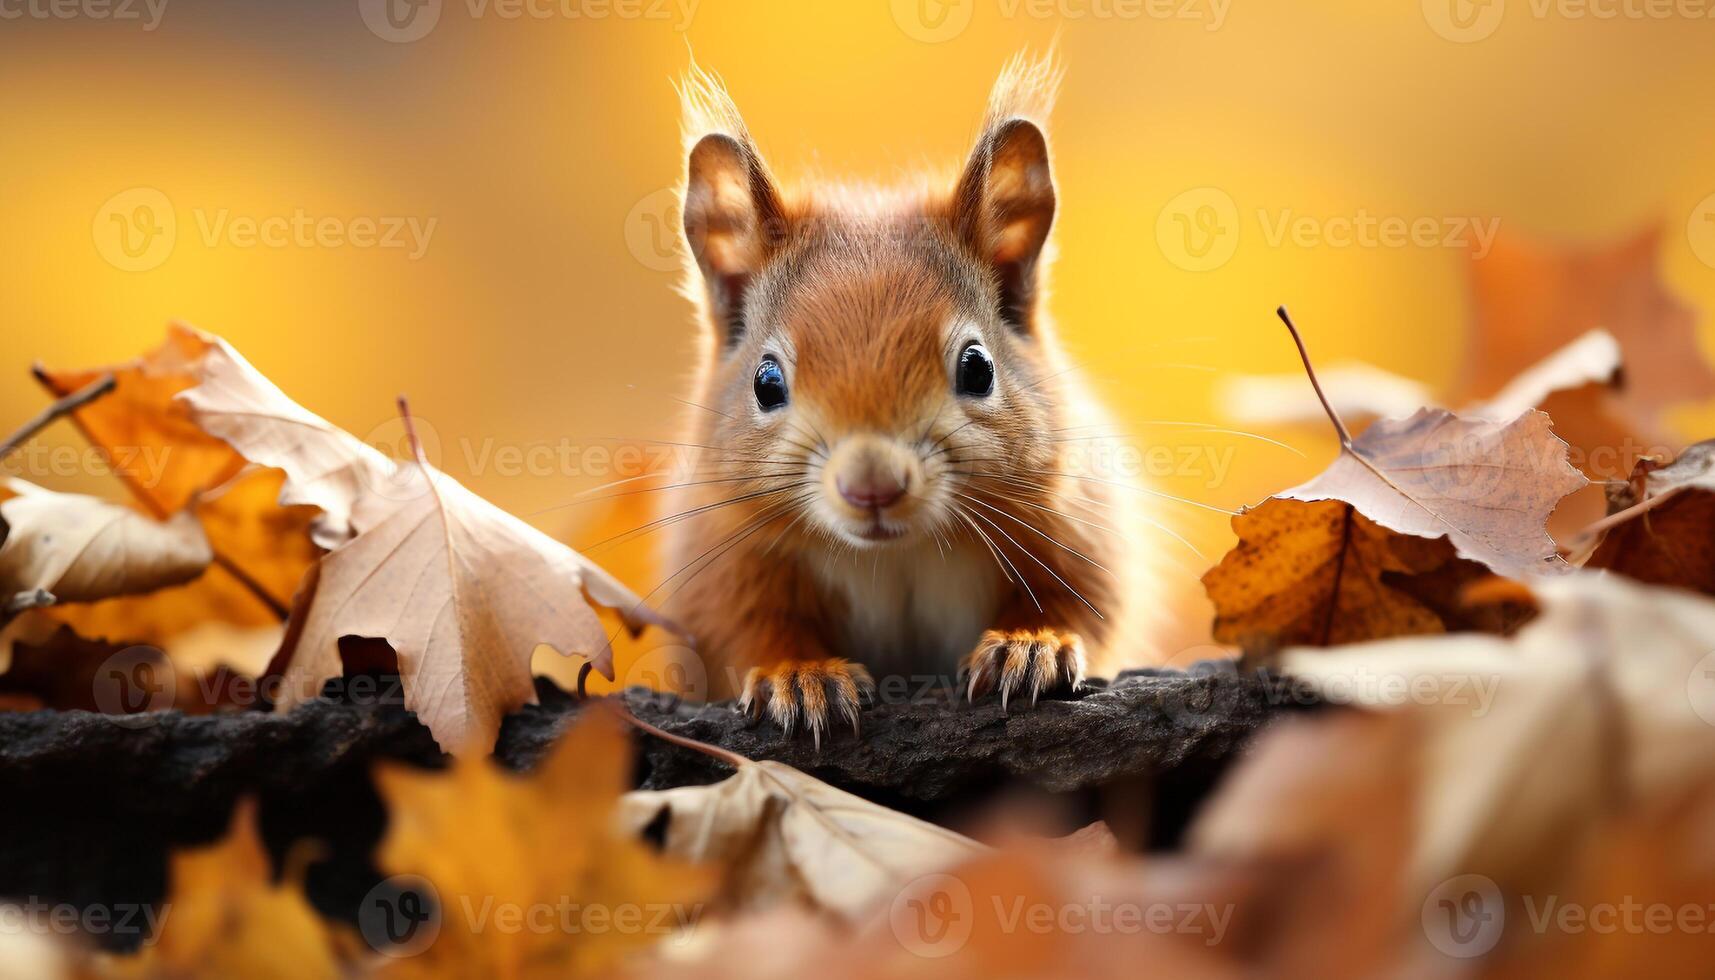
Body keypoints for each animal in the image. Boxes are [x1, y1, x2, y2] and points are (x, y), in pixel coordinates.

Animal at [661, 51, 1159, 744]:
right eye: (766, 383)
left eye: (978, 368)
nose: (872, 487)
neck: (896, 553)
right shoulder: (723, 558)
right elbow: (746, 630)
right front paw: (802, 675)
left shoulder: (1077, 517)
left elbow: (1083, 601)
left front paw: (1030, 645)